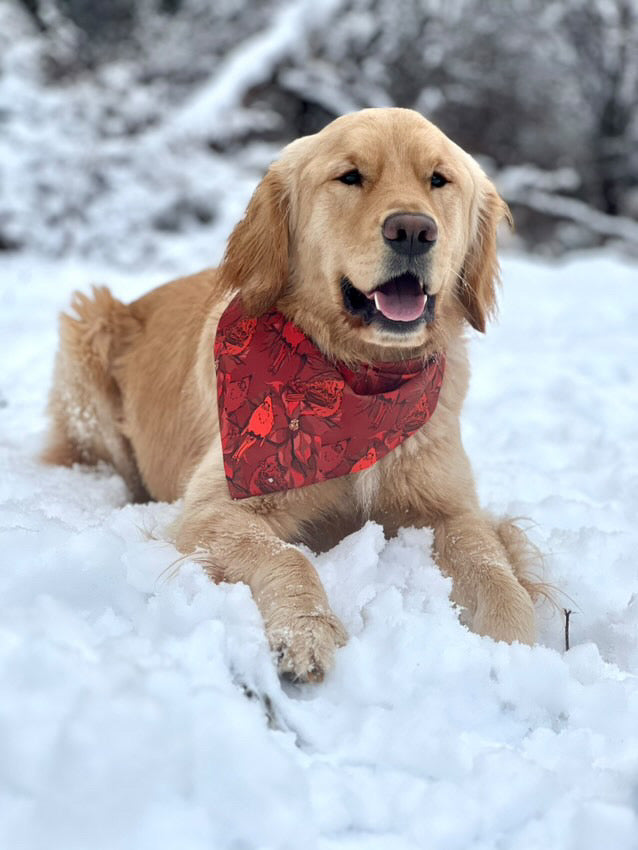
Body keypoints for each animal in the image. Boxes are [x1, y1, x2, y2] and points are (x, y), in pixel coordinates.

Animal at [43, 106, 544, 680]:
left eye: (439, 180)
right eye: (350, 176)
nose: (413, 230)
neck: (361, 377)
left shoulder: (450, 508)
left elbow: (495, 571)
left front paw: (518, 656)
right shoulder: (218, 507)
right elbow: (290, 556)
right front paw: (305, 633)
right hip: (88, 327)